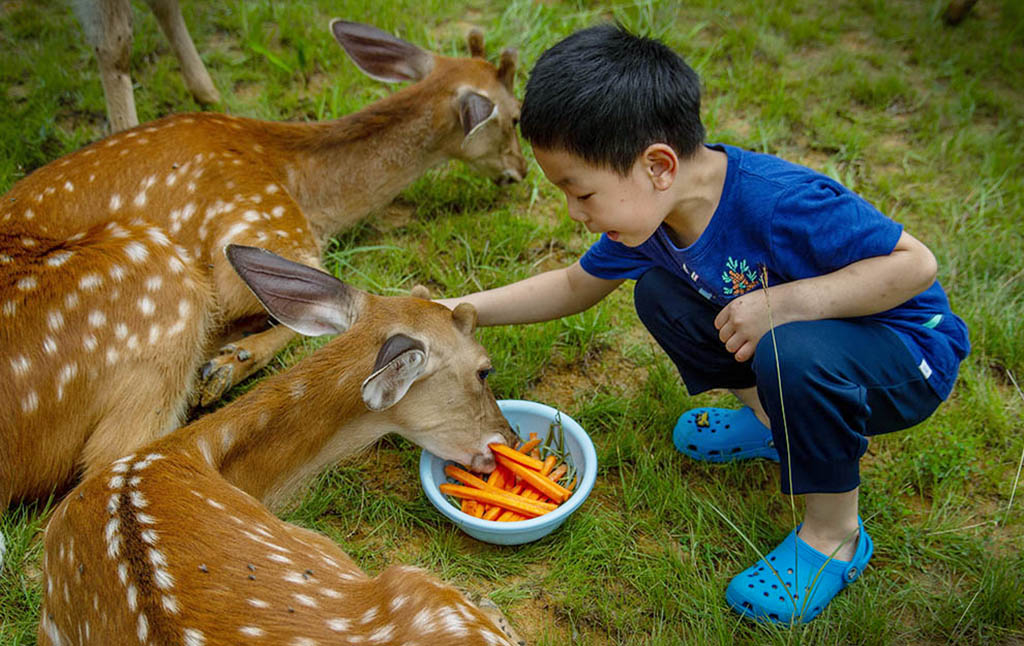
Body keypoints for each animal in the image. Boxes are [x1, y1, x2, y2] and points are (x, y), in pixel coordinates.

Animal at [0, 18, 528, 552]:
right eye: (516, 117)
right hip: (159, 279)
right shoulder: (265, 230)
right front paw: (227, 362)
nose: (520, 172)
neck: (308, 191)